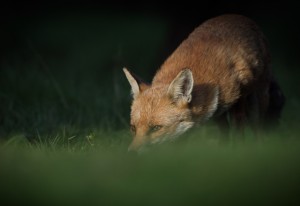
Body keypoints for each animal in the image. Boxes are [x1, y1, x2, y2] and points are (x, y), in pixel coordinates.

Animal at [123, 13, 284, 150]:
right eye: (133, 128)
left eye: (156, 128)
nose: (131, 154)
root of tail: (239, 16)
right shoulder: (216, 109)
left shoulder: (239, 98)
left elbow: (238, 132)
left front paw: (238, 150)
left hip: (259, 99)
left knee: (258, 128)